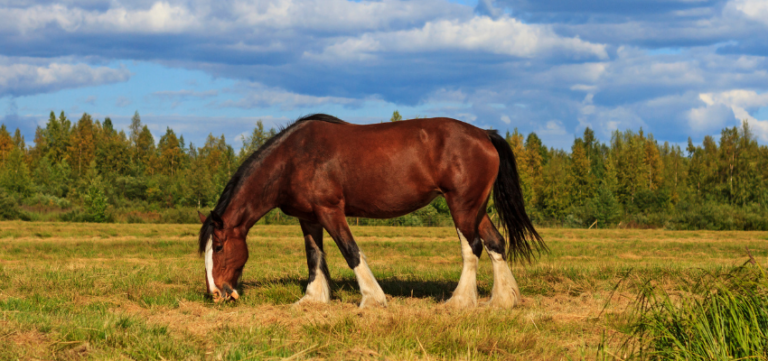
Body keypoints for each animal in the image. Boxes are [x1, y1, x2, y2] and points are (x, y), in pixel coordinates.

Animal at [198, 113, 544, 306]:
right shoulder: (308, 218)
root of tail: (485, 134)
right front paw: (313, 298)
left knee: (472, 246)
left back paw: (460, 302)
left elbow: (350, 251)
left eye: (219, 246)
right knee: (495, 243)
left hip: (461, 206)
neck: (292, 158)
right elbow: (314, 257)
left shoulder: (330, 211)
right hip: (476, 208)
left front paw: (373, 299)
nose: (216, 293)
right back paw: (503, 301)